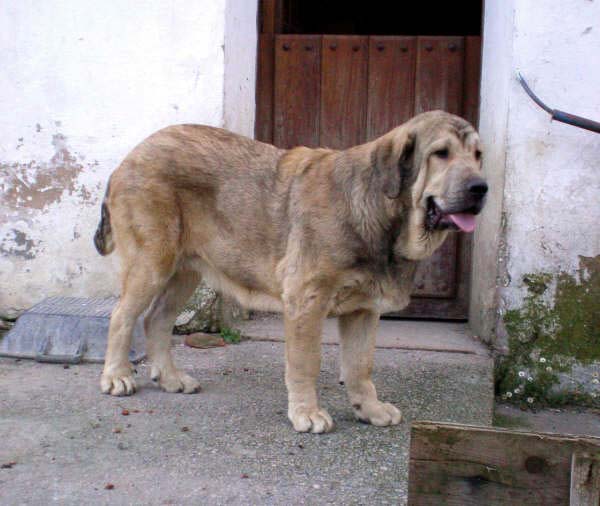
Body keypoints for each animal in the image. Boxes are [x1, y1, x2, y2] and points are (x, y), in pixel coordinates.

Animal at [95, 111, 488, 434]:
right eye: (441, 153)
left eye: (478, 155)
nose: (480, 188)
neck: (381, 212)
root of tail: (128, 157)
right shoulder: (307, 300)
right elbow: (306, 362)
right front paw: (307, 413)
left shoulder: (364, 310)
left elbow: (360, 366)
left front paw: (370, 409)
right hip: (152, 263)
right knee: (122, 316)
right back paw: (116, 376)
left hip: (185, 271)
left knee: (157, 320)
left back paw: (171, 378)